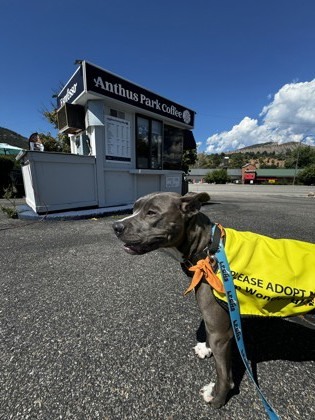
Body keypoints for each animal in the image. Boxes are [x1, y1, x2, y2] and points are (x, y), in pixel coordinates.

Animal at [112, 192, 314, 408]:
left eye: (151, 212)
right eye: (134, 209)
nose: (116, 226)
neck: (207, 249)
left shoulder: (220, 333)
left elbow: (224, 375)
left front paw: (217, 399)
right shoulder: (218, 323)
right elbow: (209, 335)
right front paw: (205, 349)